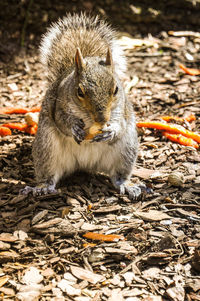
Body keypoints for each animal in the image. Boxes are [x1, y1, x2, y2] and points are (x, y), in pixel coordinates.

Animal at [22, 12, 145, 198]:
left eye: (116, 89)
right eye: (80, 92)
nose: (102, 120)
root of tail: (85, 164)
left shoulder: (121, 110)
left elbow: (121, 124)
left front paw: (111, 130)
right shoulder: (58, 106)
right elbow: (62, 121)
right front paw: (74, 128)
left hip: (126, 150)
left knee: (118, 175)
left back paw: (126, 185)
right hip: (47, 149)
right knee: (49, 175)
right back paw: (43, 187)